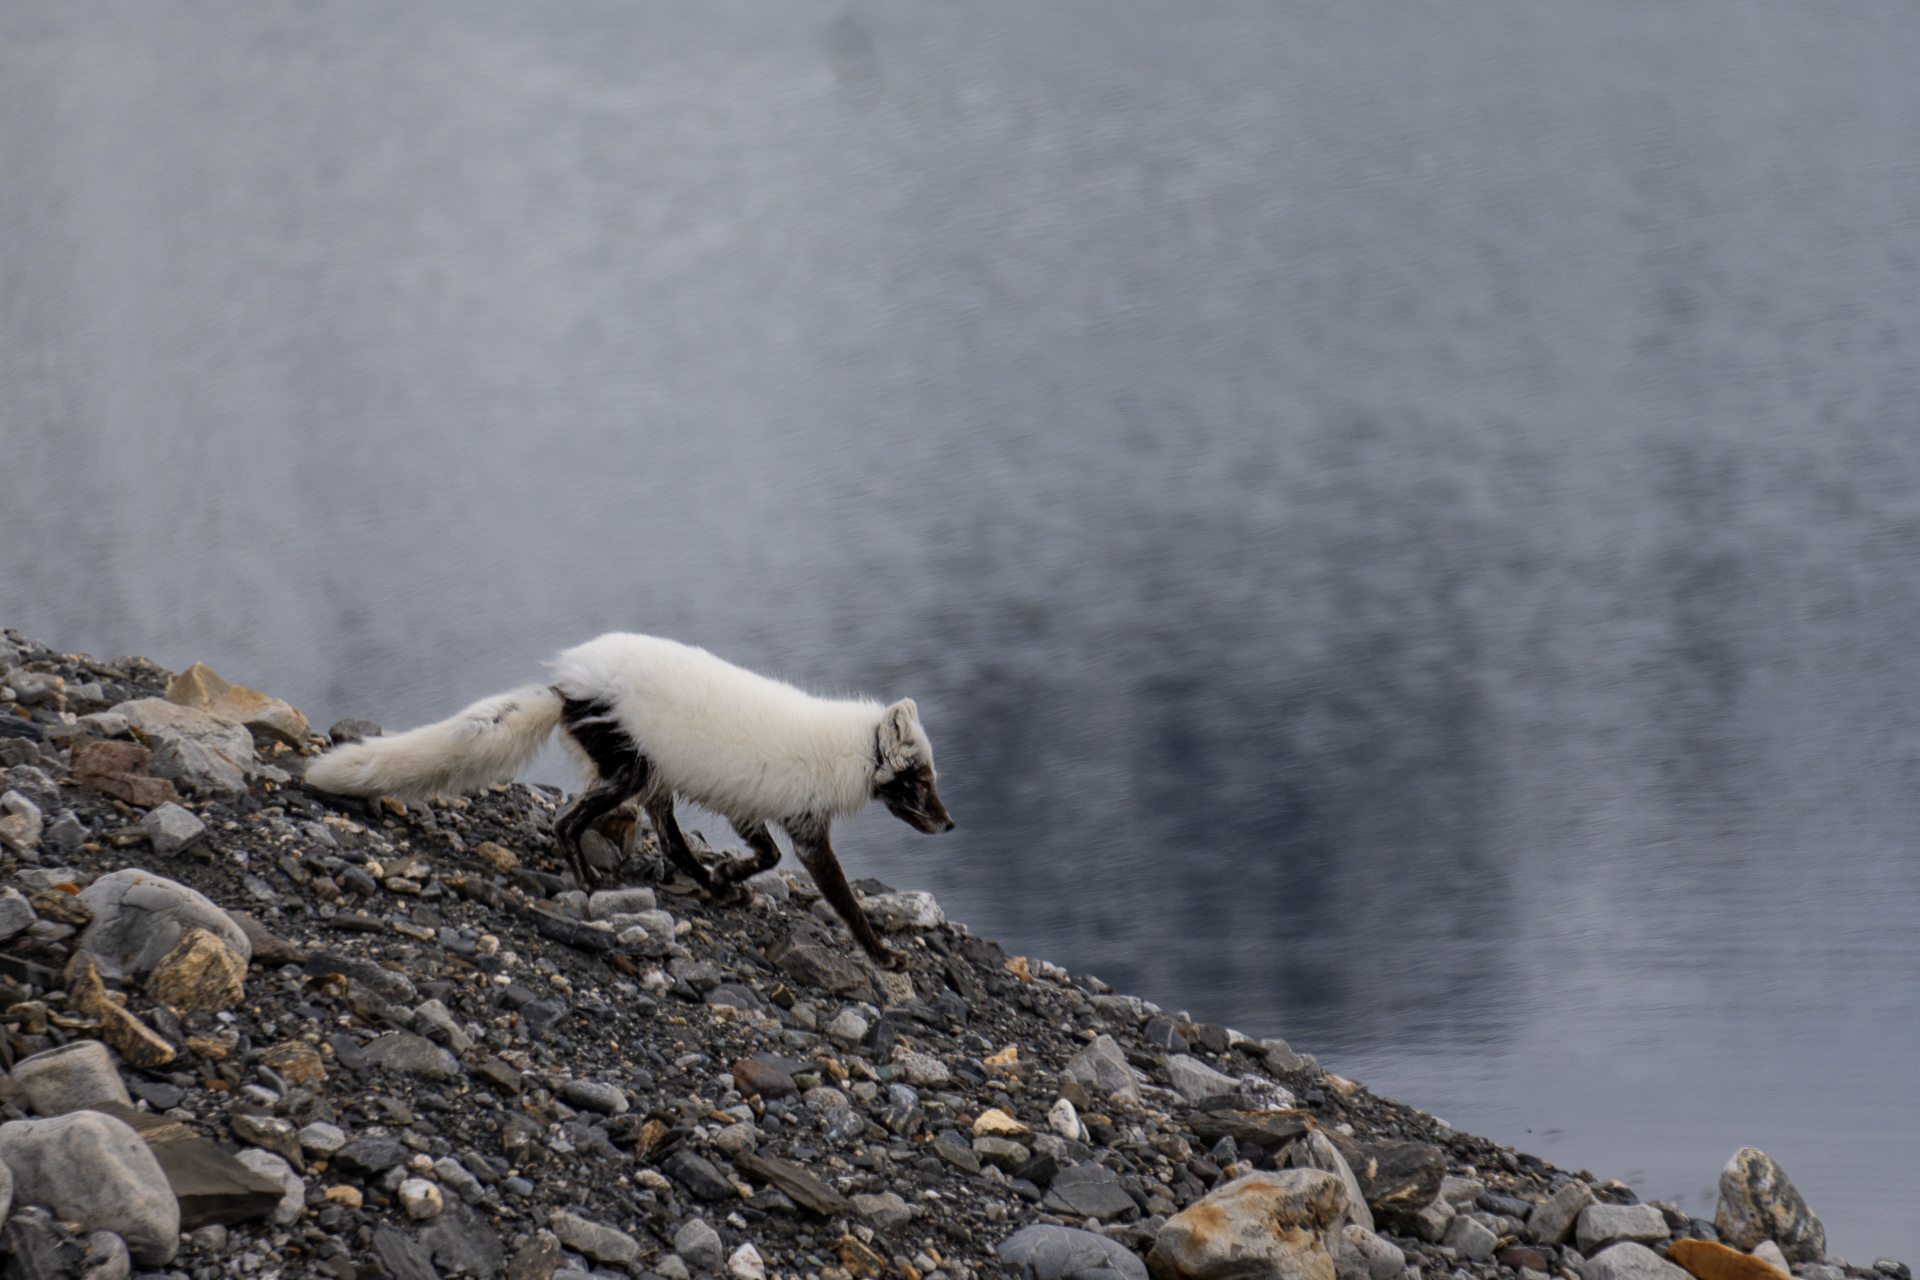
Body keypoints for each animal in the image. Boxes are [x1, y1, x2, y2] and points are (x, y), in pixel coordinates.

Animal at [303, 632, 954, 969]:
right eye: (921, 780)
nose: (950, 825)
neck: (850, 753)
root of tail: (564, 684)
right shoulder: (806, 824)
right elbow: (839, 895)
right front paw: (884, 954)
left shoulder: (749, 808)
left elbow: (765, 855)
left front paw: (728, 875)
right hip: (628, 765)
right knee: (568, 819)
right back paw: (588, 880)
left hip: (652, 772)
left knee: (666, 832)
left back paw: (709, 883)